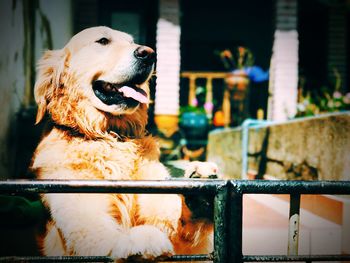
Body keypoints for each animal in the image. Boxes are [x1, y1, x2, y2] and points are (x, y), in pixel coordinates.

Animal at [30, 26, 217, 262]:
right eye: (103, 41)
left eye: (131, 41)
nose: (149, 53)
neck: (111, 138)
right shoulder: (80, 214)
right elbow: (103, 233)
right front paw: (138, 240)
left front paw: (200, 186)